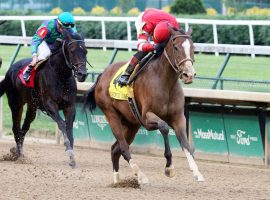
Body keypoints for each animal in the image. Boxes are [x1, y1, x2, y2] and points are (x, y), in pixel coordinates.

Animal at [0, 29, 87, 167]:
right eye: (72, 50)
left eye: (85, 51)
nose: (82, 74)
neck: (60, 75)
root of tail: (10, 71)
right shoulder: (50, 105)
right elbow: (62, 124)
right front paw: (69, 150)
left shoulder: (70, 106)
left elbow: (69, 128)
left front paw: (72, 158)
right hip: (16, 104)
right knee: (16, 129)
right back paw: (20, 156)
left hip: (32, 107)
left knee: (24, 129)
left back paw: (20, 154)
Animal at [83, 26, 204, 184]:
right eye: (176, 47)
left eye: (193, 47)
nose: (188, 74)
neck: (165, 83)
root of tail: (102, 75)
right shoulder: (146, 118)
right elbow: (164, 127)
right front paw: (169, 168)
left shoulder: (178, 118)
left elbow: (185, 143)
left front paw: (196, 172)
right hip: (111, 114)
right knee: (123, 147)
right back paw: (140, 175)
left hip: (131, 123)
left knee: (115, 149)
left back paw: (117, 180)